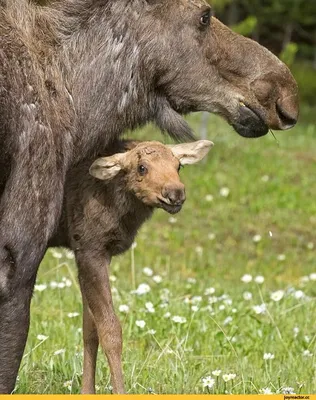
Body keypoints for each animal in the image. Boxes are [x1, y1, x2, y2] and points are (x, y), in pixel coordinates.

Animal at [47, 140, 212, 394]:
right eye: (141, 167)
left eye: (179, 165)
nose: (175, 193)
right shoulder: (90, 249)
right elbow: (110, 330)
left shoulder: (93, 254)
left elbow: (90, 329)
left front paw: (87, 391)